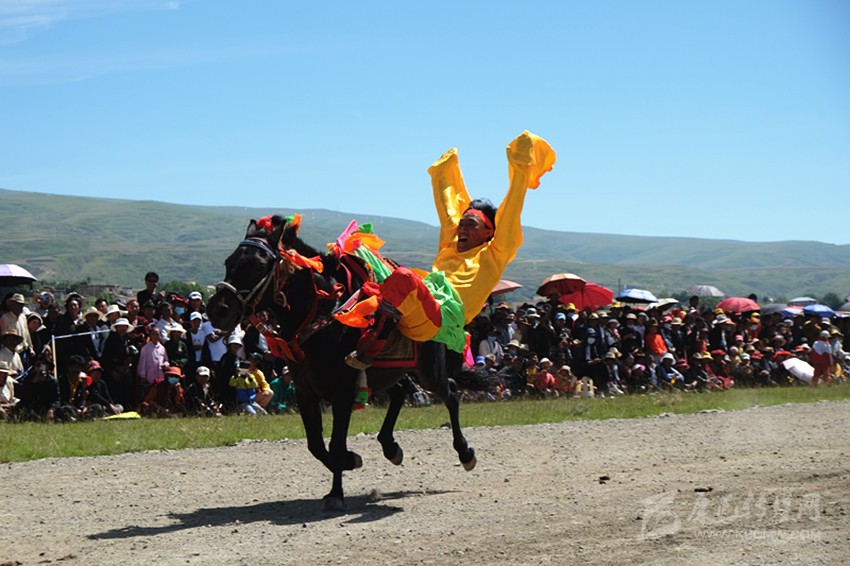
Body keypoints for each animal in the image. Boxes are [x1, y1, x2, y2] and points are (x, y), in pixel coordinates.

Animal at [206, 218, 476, 510]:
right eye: (228, 262)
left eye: (258, 265)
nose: (217, 310)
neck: (322, 318)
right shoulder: (306, 393)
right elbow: (316, 445)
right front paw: (350, 461)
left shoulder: (342, 392)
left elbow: (335, 444)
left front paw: (336, 491)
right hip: (385, 375)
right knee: (400, 392)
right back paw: (390, 447)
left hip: (428, 372)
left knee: (450, 393)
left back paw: (465, 453)